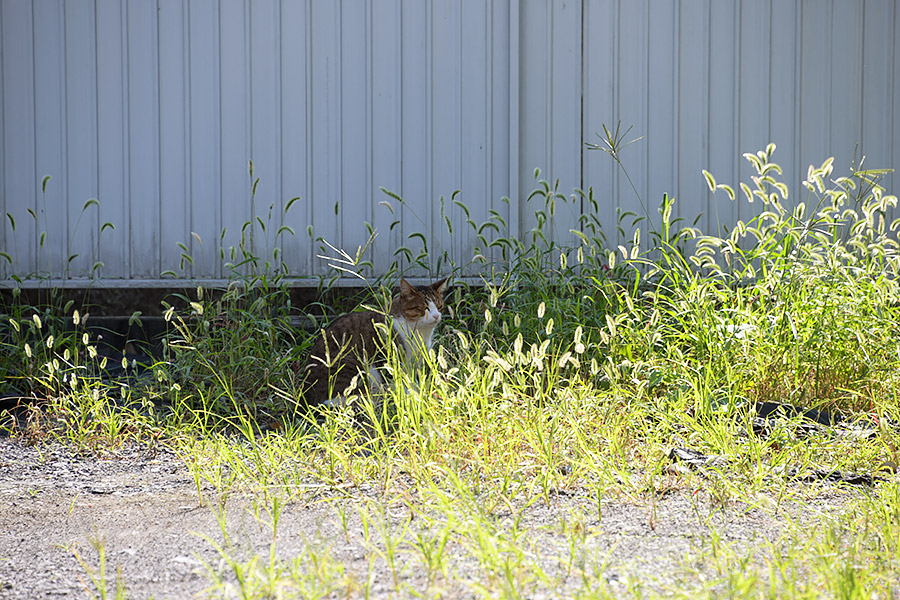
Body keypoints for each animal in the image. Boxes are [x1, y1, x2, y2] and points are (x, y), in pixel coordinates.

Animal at [302, 276, 446, 408]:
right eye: (424, 308)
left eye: (440, 306)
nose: (436, 316)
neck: (421, 332)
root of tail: (307, 395)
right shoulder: (388, 358)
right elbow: (398, 381)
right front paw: (410, 396)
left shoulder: (414, 364)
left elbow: (411, 380)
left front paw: (417, 391)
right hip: (349, 361)